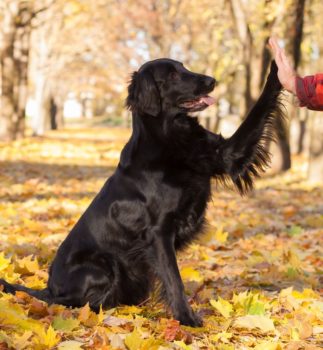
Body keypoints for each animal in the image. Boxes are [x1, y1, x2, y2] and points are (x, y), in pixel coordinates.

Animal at [0, 58, 284, 326]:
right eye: (172, 75)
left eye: (184, 67)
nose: (211, 81)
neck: (170, 136)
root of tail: (48, 288)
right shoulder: (158, 233)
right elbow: (173, 278)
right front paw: (187, 318)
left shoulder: (226, 155)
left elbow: (258, 110)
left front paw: (278, 69)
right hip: (103, 265)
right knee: (77, 303)